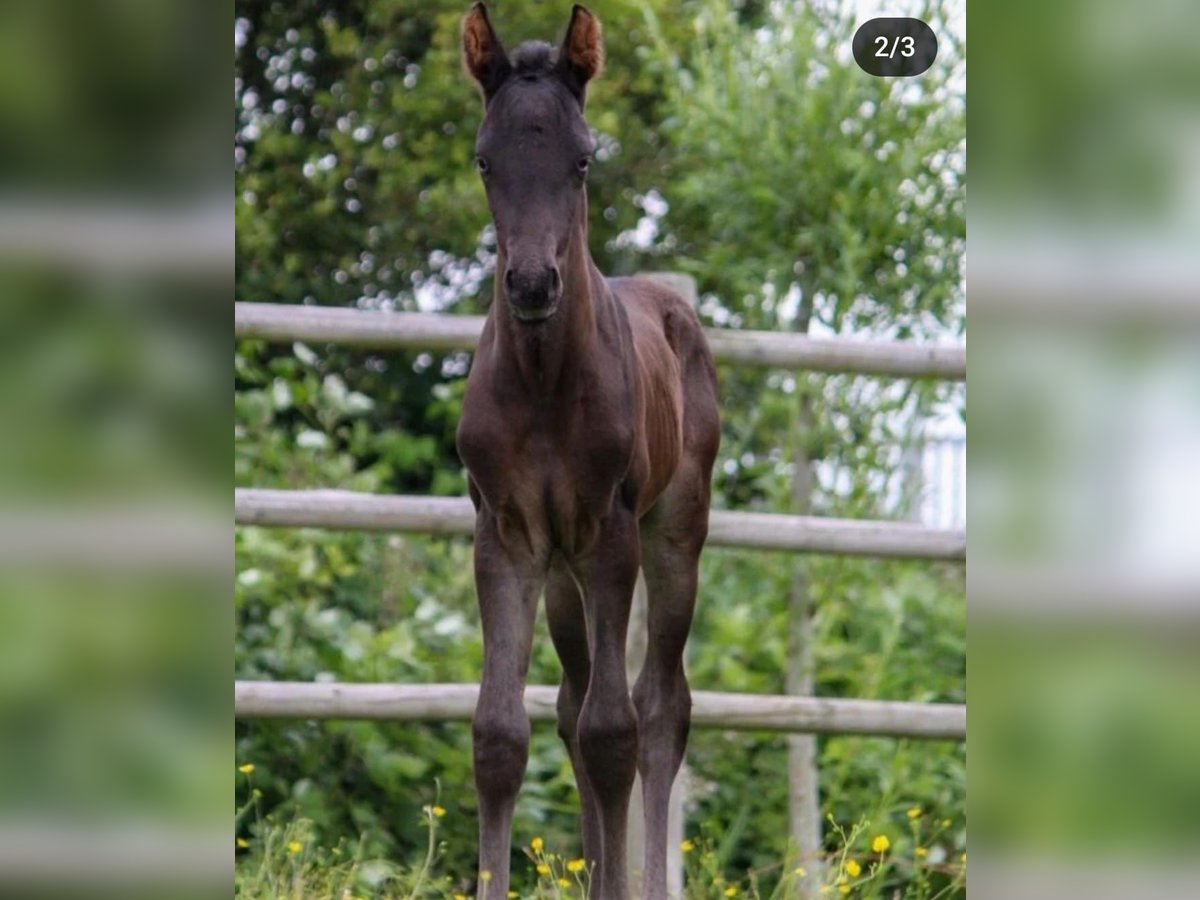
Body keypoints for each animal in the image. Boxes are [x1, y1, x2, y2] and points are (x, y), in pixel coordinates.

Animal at [456, 8, 720, 900]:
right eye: (485, 159)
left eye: (581, 159)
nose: (534, 286)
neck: (543, 380)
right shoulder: (506, 537)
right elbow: (502, 735)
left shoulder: (610, 534)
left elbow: (617, 731)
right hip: (562, 569)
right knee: (571, 705)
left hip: (673, 535)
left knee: (661, 707)